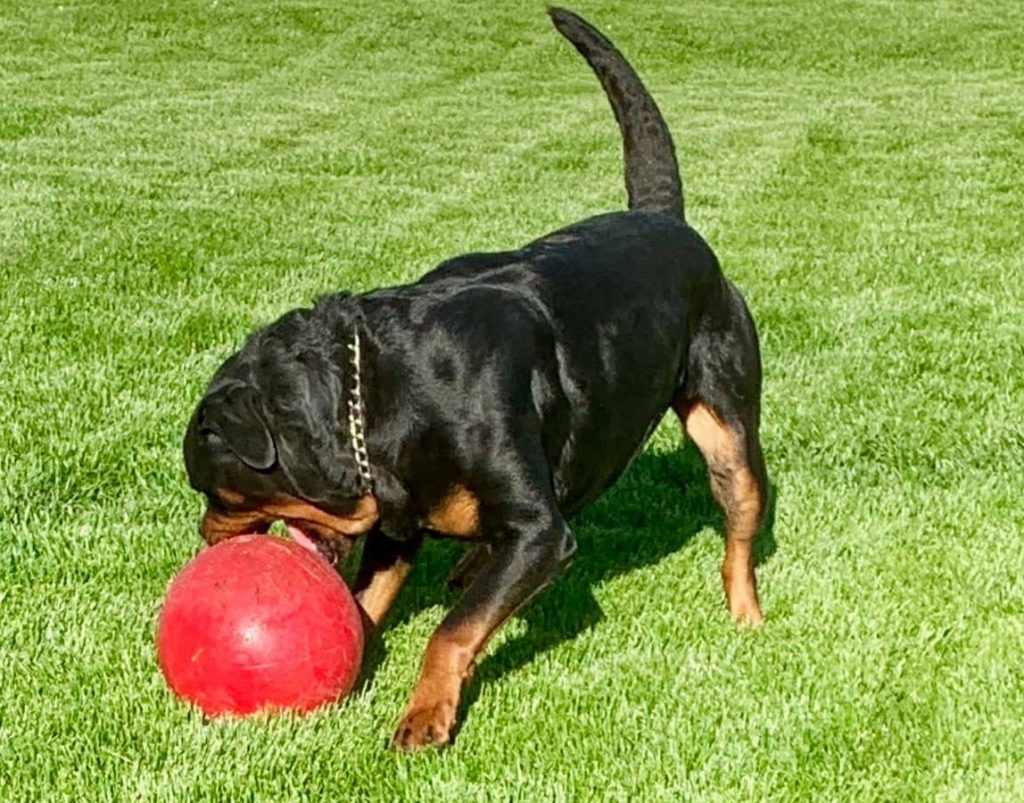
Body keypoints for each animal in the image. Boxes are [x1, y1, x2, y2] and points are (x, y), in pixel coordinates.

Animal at [180, 6, 765, 749]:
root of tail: (664, 218)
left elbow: (451, 631)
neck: (378, 393)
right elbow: (366, 601)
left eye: (217, 492)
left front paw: (425, 713)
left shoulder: (539, 531)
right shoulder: (398, 519)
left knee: (738, 525)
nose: (207, 539)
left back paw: (746, 611)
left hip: (727, 428)